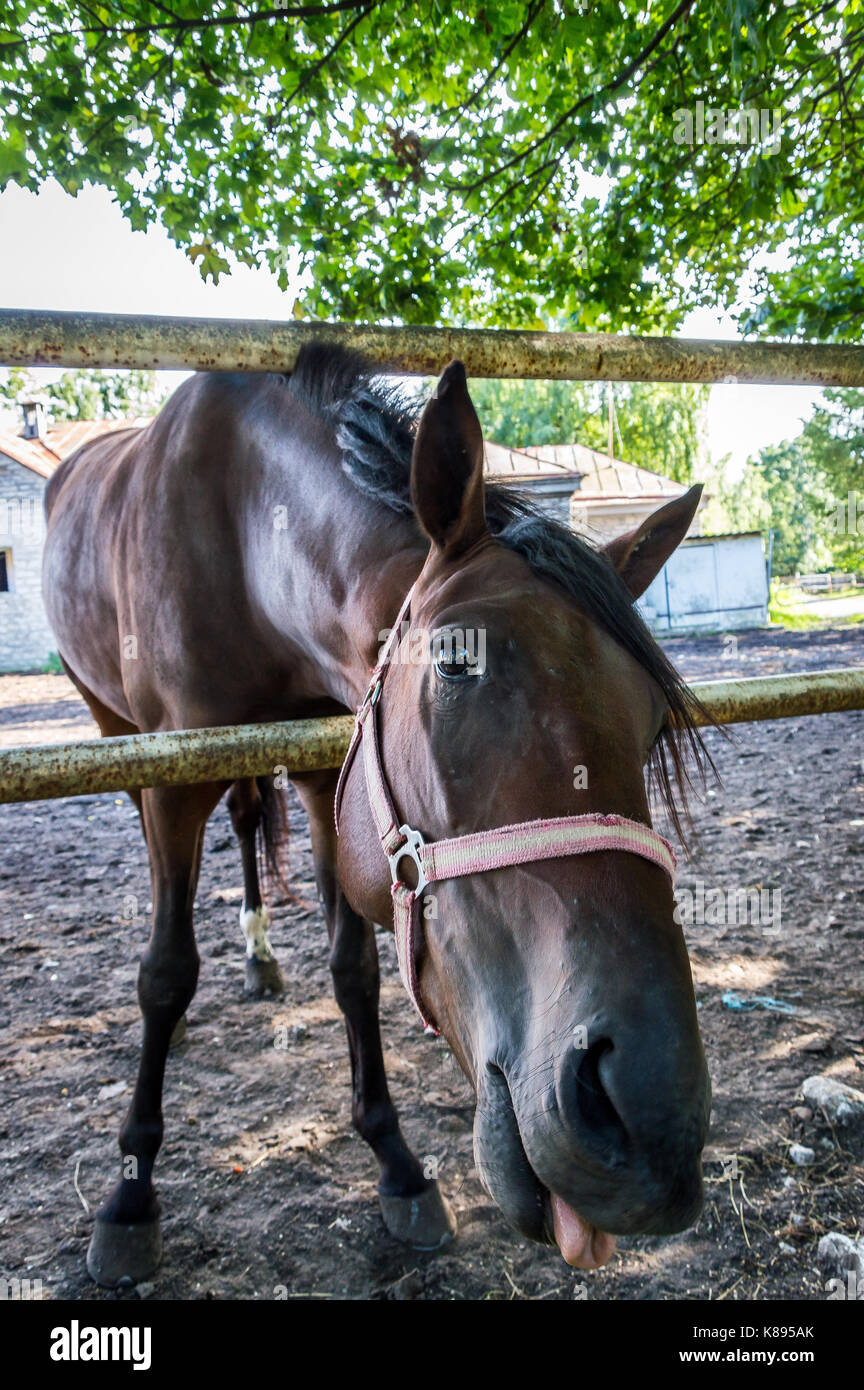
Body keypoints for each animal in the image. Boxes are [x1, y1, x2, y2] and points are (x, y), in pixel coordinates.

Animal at [42, 347, 712, 1287]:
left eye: (652, 719)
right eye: (455, 666)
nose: (650, 1117)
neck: (242, 529)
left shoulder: (331, 769)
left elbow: (354, 968)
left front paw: (398, 1167)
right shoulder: (173, 774)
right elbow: (165, 973)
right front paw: (130, 1192)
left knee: (248, 820)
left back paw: (260, 959)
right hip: (114, 732)